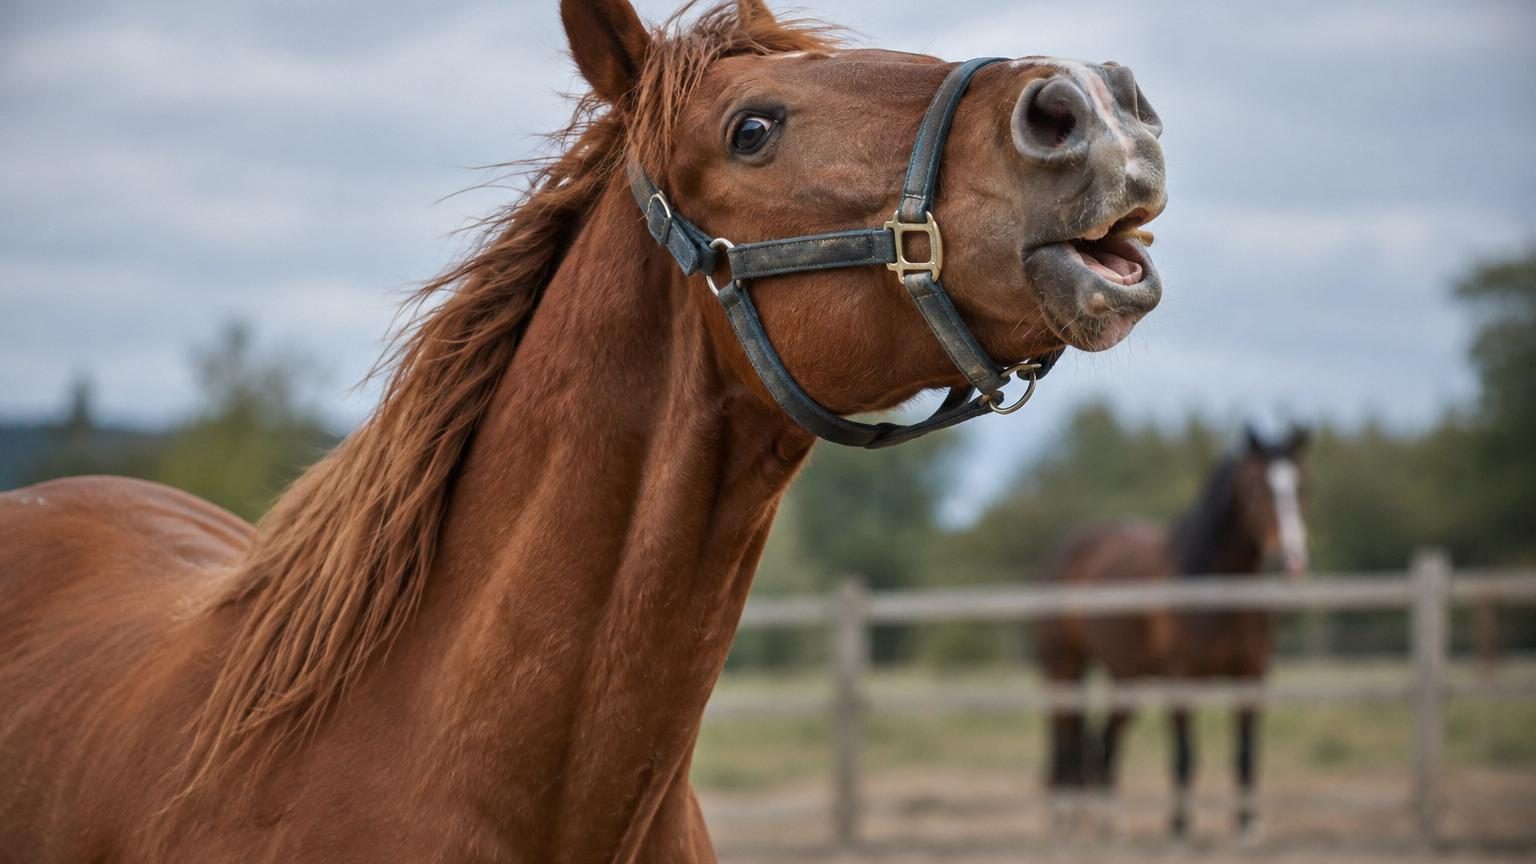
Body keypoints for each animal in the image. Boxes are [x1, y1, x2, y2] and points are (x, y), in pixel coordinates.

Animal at [1036, 426, 1310, 843]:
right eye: (1255, 487)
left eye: (1302, 486)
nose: (1292, 559)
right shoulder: (1181, 679)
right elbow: (1184, 754)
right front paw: (1180, 826)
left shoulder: (1252, 677)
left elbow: (1246, 753)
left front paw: (1247, 825)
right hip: (1064, 666)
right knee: (1065, 738)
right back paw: (1063, 820)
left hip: (1126, 677)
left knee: (1104, 742)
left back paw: (1110, 824)